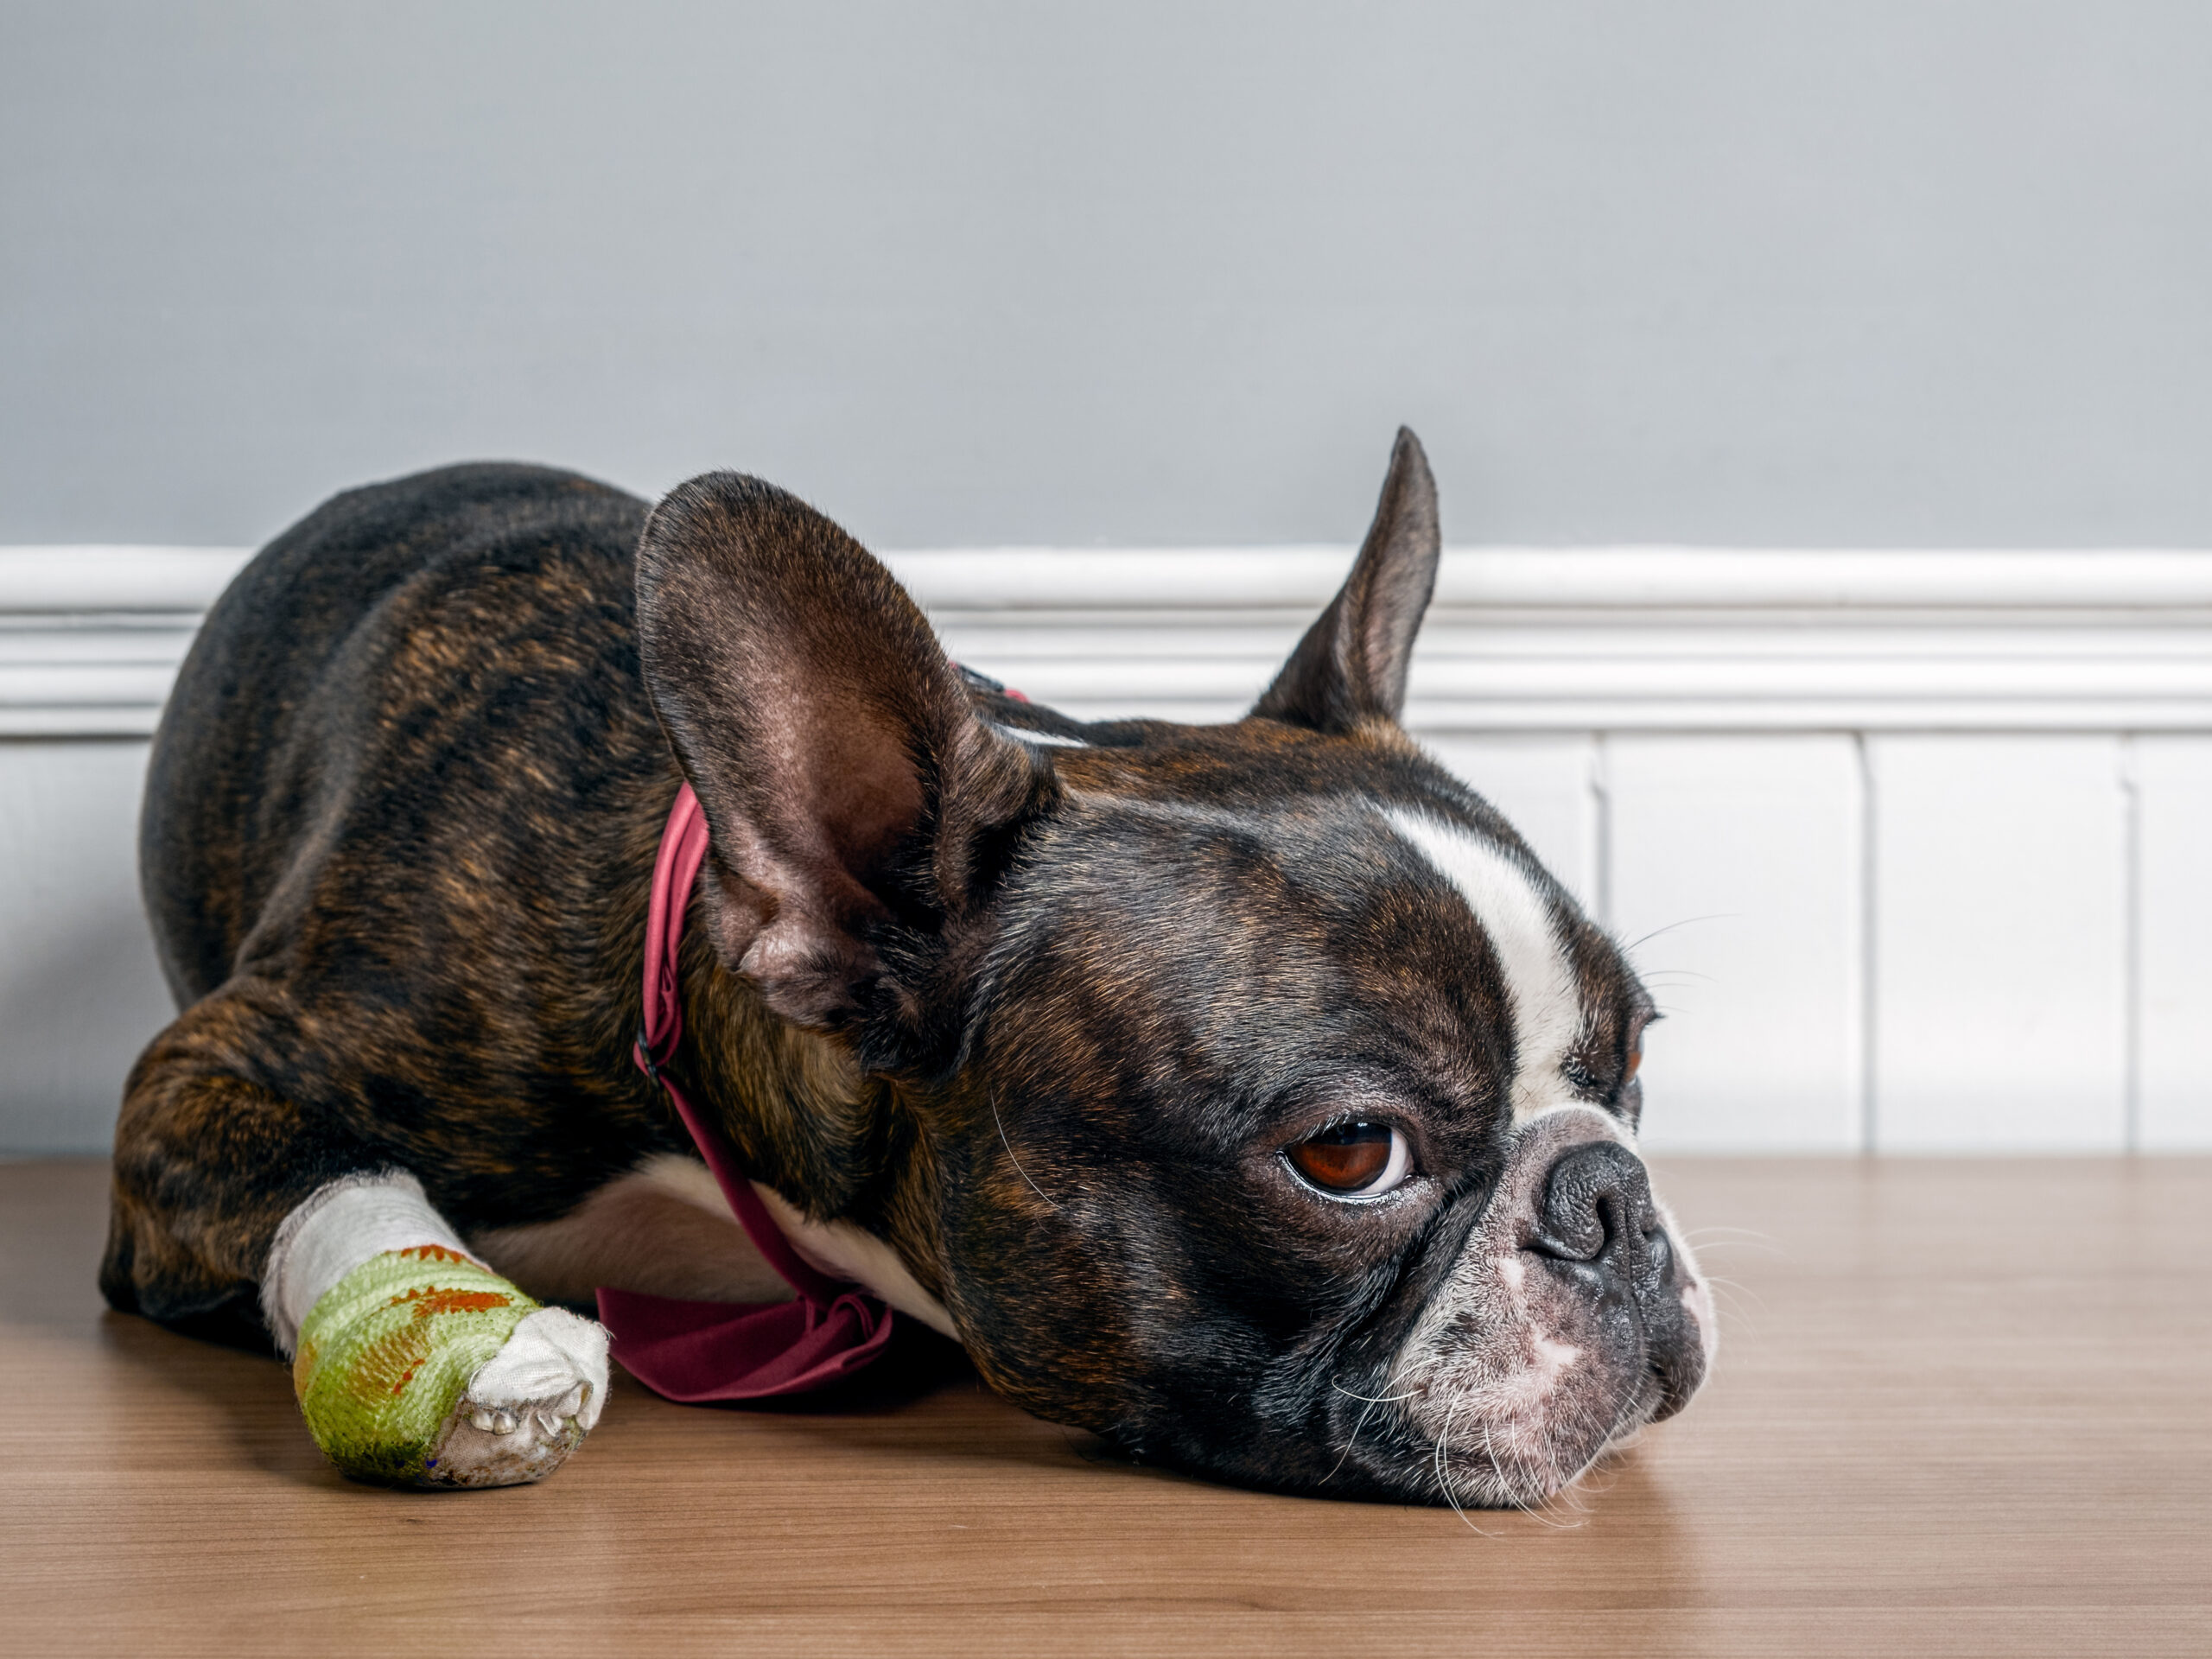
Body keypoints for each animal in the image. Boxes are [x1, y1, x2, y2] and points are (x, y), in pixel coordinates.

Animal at [104, 429, 1716, 1503]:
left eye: (1634, 1063)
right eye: (1348, 1153)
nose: (1611, 1197)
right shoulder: (215, 1069)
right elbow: (341, 1174)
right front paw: (477, 1362)